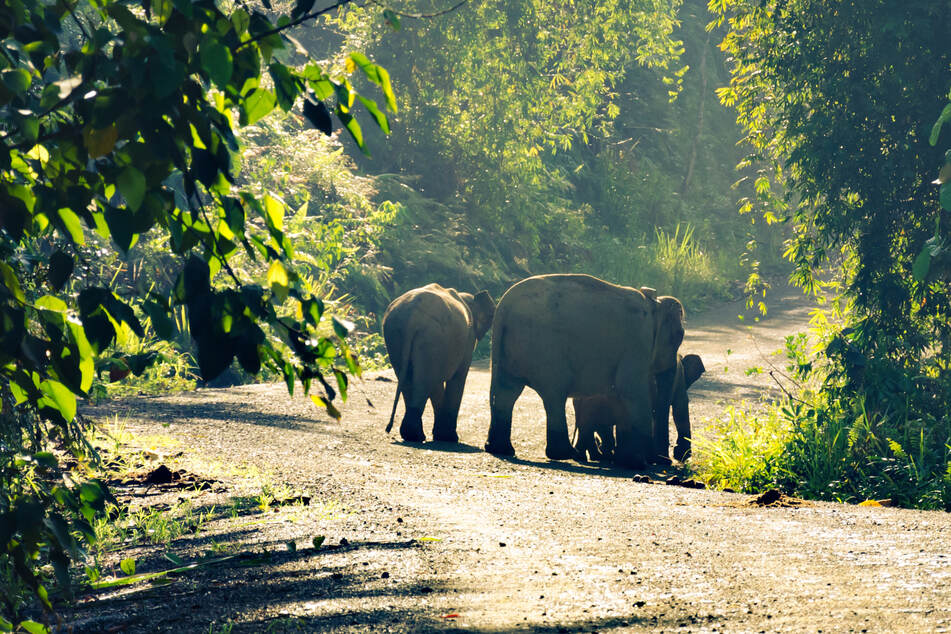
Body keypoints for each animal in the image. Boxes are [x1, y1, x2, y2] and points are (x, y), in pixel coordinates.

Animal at [383, 283, 496, 443]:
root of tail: (412, 318)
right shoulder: (468, 339)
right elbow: (458, 378)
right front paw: (449, 438)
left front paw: (441, 436)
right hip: (432, 337)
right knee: (424, 381)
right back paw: (417, 436)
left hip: (397, 335)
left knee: (410, 380)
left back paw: (412, 436)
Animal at [484, 274, 685, 468]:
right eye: (680, 335)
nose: (666, 461)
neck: (653, 304)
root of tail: (503, 309)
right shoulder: (638, 343)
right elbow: (631, 390)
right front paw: (637, 464)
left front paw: (627, 461)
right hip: (545, 350)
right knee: (553, 394)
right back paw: (565, 454)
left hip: (510, 352)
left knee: (507, 393)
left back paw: (501, 449)